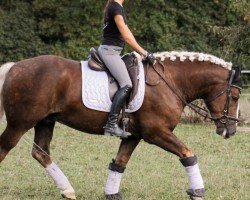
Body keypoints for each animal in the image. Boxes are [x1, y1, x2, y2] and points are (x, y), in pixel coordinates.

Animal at [0, 52, 243, 200]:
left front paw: (111, 193)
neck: (170, 82)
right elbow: (188, 154)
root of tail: (14, 67)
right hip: (20, 123)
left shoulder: (133, 136)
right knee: (5, 148)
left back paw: (67, 190)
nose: (230, 131)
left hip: (45, 121)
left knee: (41, 152)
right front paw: (198, 190)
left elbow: (119, 163)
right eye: (235, 96)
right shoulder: (156, 133)